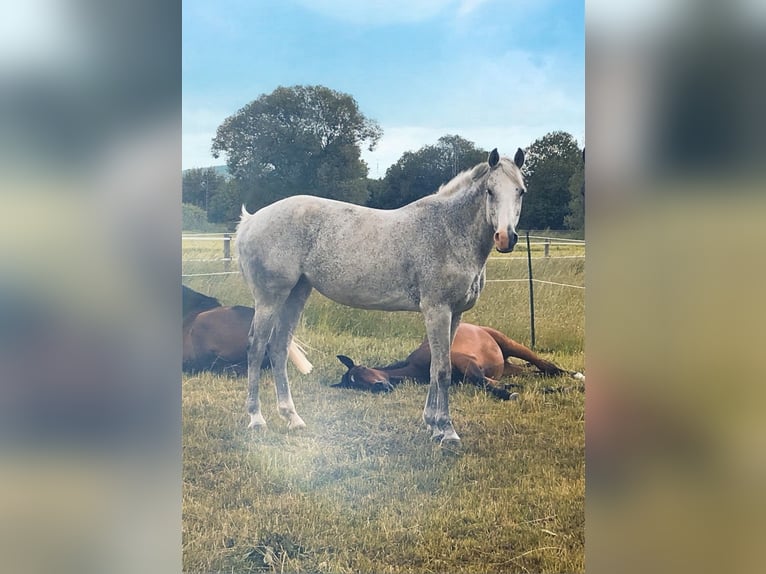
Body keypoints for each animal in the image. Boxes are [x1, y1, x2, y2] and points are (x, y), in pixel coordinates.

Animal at [238, 146, 528, 448]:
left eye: (521, 191)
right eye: (490, 191)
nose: (505, 238)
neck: (448, 231)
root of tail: (251, 221)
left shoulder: (455, 314)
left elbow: (435, 368)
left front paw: (432, 425)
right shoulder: (437, 310)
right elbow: (443, 371)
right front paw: (447, 432)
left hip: (296, 295)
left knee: (278, 348)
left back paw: (293, 418)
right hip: (270, 299)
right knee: (256, 348)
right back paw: (257, 419)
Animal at [334, 324, 584, 400]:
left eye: (362, 369)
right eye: (355, 384)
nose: (380, 386)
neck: (419, 366)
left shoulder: (467, 363)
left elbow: (481, 382)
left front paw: (506, 392)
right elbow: (484, 382)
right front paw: (508, 388)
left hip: (511, 344)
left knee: (546, 366)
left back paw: (575, 376)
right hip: (509, 368)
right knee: (536, 373)